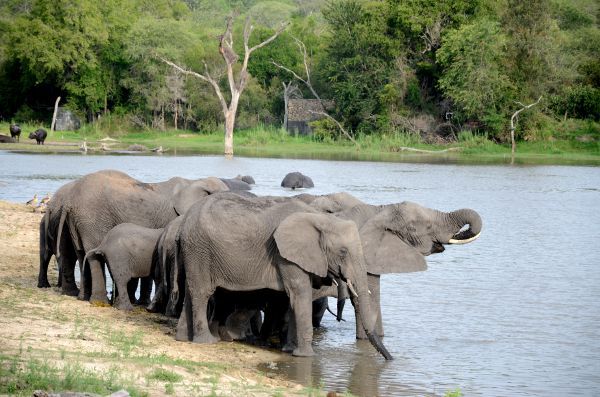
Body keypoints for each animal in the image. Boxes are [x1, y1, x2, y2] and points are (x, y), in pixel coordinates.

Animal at [172, 193, 394, 358]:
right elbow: (300, 294)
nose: (390, 359)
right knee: (202, 292)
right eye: (343, 252)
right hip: (199, 248)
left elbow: (291, 300)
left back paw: (183, 338)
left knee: (191, 292)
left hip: (193, 250)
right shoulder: (286, 256)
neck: (319, 218)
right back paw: (207, 341)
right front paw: (306, 356)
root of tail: (182, 224)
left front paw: (289, 350)